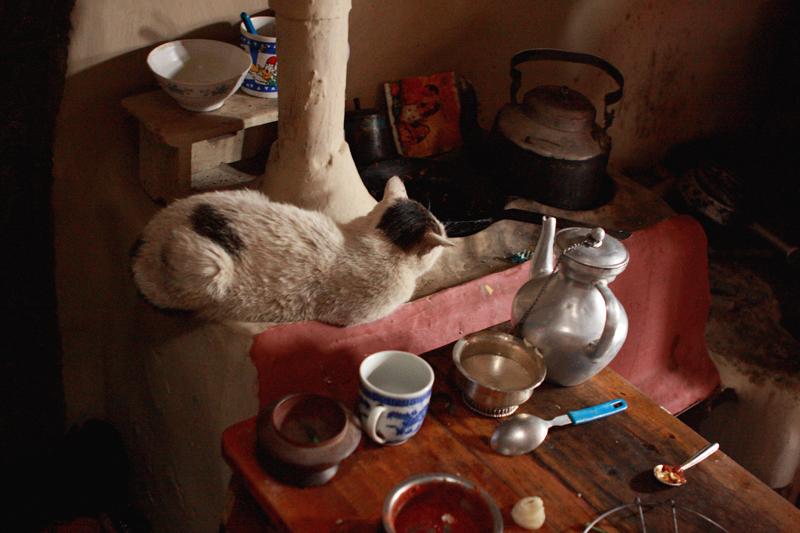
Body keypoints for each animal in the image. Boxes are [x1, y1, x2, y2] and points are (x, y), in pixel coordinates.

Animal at [130, 176, 454, 326]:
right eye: (442, 228)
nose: (448, 230)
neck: (374, 235)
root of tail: (146, 233)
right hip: (209, 267)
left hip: (249, 194)